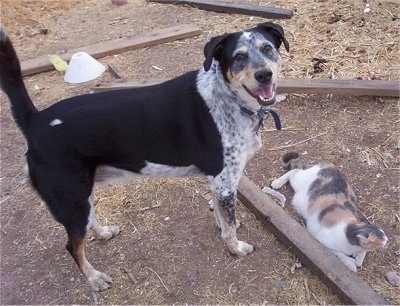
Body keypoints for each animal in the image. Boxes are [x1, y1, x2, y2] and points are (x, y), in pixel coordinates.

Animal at [0, 22, 288, 290]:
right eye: (238, 57)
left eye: (267, 48)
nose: (264, 75)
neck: (228, 99)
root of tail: (36, 121)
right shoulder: (225, 181)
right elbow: (228, 225)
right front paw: (235, 248)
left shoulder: (218, 182)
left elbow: (220, 214)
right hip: (71, 201)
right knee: (73, 247)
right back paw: (94, 278)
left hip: (81, 194)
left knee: (88, 222)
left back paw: (104, 233)